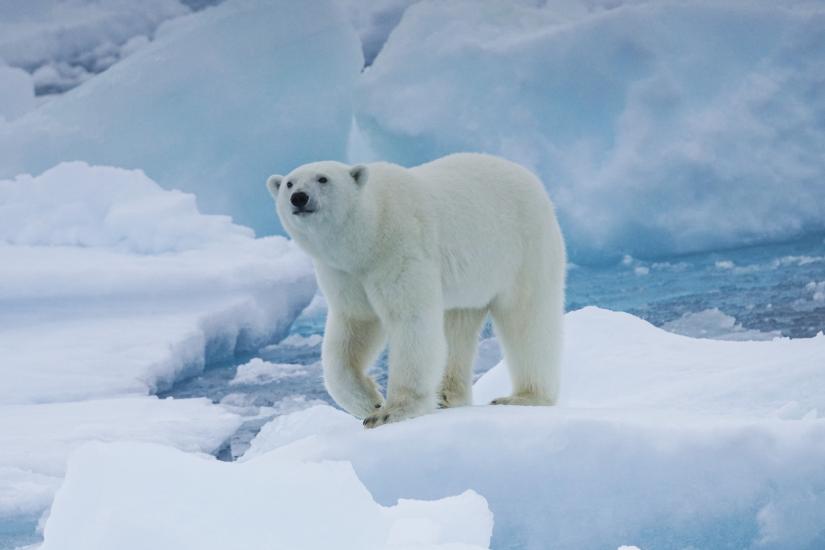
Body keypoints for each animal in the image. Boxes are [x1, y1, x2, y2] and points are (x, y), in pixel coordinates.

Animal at [266, 153, 566, 428]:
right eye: (289, 183)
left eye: (323, 179)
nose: (299, 198)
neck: (370, 230)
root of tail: (532, 180)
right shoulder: (344, 272)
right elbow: (355, 324)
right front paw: (369, 401)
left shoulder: (400, 248)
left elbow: (410, 319)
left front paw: (391, 411)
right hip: (472, 281)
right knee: (458, 325)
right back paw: (446, 396)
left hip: (522, 248)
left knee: (526, 319)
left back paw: (525, 396)